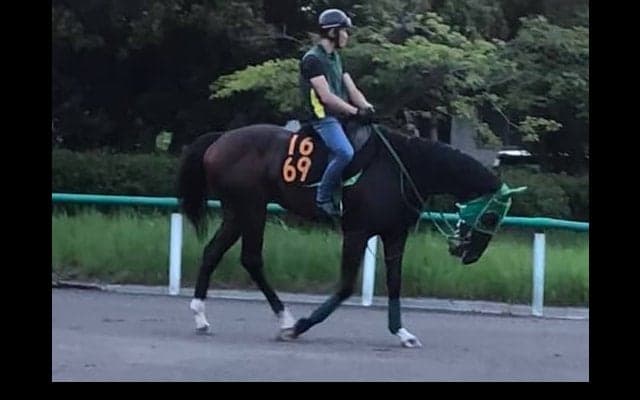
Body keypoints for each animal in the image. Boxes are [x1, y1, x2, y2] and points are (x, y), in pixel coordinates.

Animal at [177, 119, 524, 348]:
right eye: (491, 215)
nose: (470, 255)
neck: (402, 167)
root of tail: (221, 138)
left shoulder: (395, 234)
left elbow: (395, 283)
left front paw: (402, 333)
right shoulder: (357, 232)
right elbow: (345, 286)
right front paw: (301, 326)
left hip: (238, 211)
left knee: (213, 252)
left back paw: (201, 316)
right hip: (251, 208)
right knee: (251, 259)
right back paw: (286, 319)